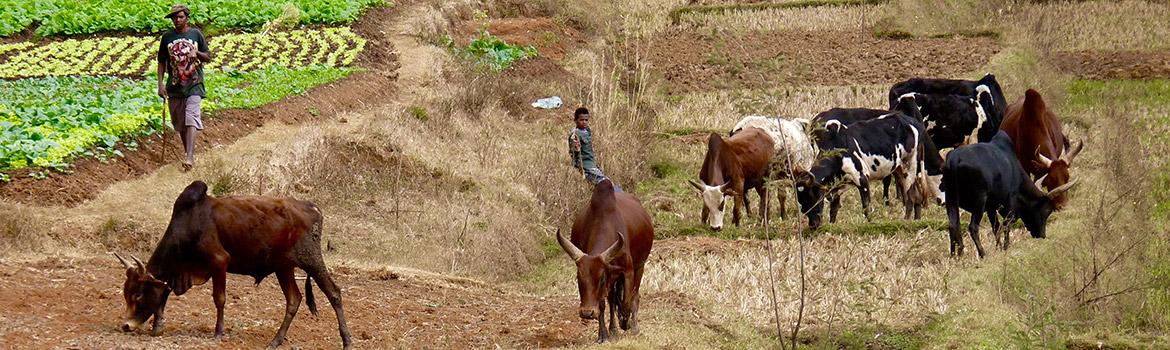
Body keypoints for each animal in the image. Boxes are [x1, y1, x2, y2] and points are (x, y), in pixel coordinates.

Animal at [113, 182, 351, 348]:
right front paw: (157, 327)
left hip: (311, 260)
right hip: (284, 267)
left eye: (137, 294)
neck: (190, 225)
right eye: (126, 293)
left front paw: (218, 333)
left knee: (334, 293)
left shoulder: (219, 262)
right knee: (294, 299)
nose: (126, 325)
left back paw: (347, 341)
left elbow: (219, 299)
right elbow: (163, 296)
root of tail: (312, 207)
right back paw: (275, 341)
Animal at [554, 180, 650, 344]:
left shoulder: (627, 272)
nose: (586, 313)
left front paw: (625, 323)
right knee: (611, 300)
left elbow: (626, 302)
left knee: (635, 296)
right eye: (578, 278)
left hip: (640, 266)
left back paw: (634, 326)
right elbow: (602, 304)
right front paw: (603, 335)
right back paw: (613, 329)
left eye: (601, 279)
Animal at [940, 131, 1076, 257]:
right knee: (973, 227)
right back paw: (982, 253)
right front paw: (1005, 248)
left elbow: (996, 227)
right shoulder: (1010, 200)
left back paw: (956, 255)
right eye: (1048, 210)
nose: (1041, 235)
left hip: (951, 199)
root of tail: (954, 160)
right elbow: (1006, 225)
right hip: (979, 200)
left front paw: (998, 248)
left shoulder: (991, 207)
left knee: (953, 226)